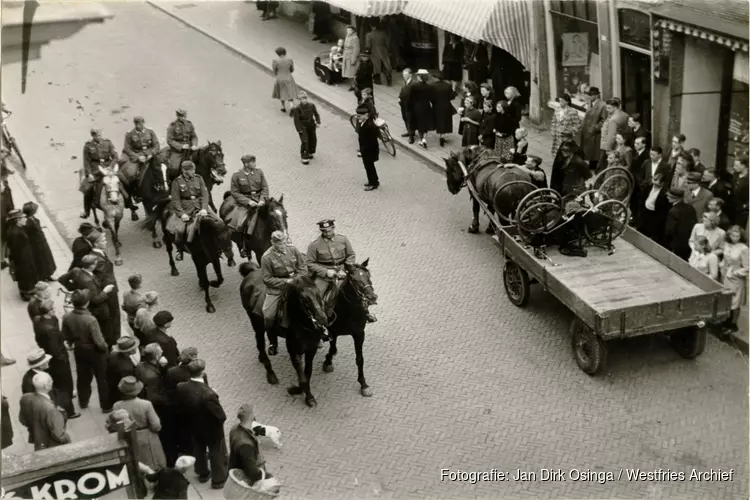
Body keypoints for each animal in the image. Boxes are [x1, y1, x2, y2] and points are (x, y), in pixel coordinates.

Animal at [236, 264, 328, 408]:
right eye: (303, 299)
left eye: (318, 293)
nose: (322, 319)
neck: (303, 324)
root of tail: (251, 272)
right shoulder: (293, 350)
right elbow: (302, 378)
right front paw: (305, 395)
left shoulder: (311, 349)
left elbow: (307, 374)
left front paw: (299, 390)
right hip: (256, 324)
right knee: (260, 344)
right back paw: (270, 373)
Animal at [324, 260, 382, 396]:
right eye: (355, 280)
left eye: (368, 276)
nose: (372, 297)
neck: (349, 310)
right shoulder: (333, 332)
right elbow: (333, 349)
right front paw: (327, 362)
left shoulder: (359, 334)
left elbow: (360, 359)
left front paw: (364, 384)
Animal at [446, 146, 736, 374]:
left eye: (450, 168)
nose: (452, 188)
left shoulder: (484, 201)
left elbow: (480, 211)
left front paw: (480, 229)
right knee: (693, 329)